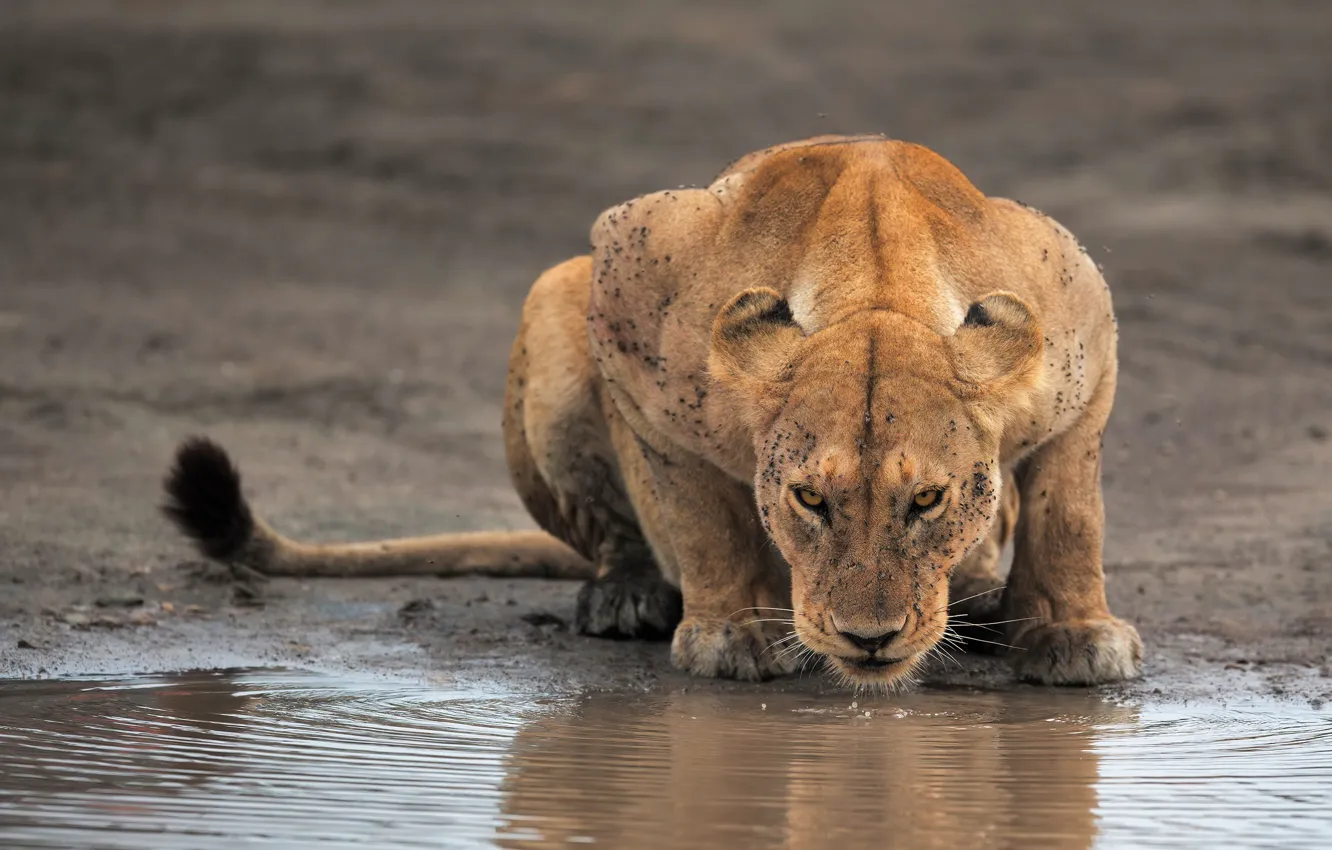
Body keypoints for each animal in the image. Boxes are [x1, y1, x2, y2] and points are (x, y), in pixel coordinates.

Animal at [163, 134, 1142, 687]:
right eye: (809, 501)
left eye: (928, 501)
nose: (868, 640)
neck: (878, 291)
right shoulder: (628, 297)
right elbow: (702, 514)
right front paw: (734, 633)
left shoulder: (1083, 326)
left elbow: (1069, 513)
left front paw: (1072, 635)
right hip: (553, 299)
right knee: (611, 529)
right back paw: (628, 595)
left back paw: (980, 600)